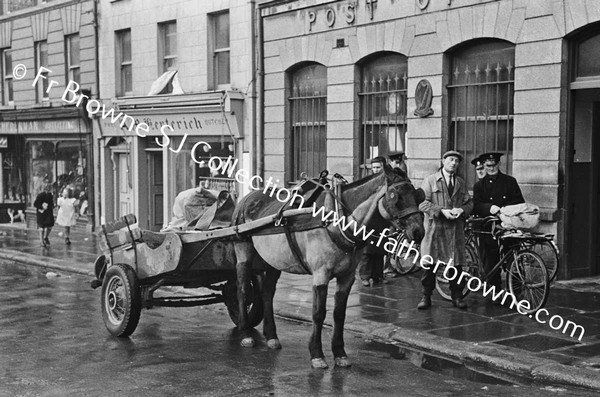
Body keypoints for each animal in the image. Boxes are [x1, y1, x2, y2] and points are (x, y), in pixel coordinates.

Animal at [232, 165, 424, 368]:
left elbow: (339, 314)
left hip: (272, 260)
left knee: (267, 294)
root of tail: (247, 197)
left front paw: (340, 353)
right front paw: (316, 354)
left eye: (417, 195)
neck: (337, 218)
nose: (418, 231)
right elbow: (318, 313)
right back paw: (245, 333)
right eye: (396, 197)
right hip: (243, 251)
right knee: (242, 290)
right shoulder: (321, 274)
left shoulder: (347, 276)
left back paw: (271, 336)